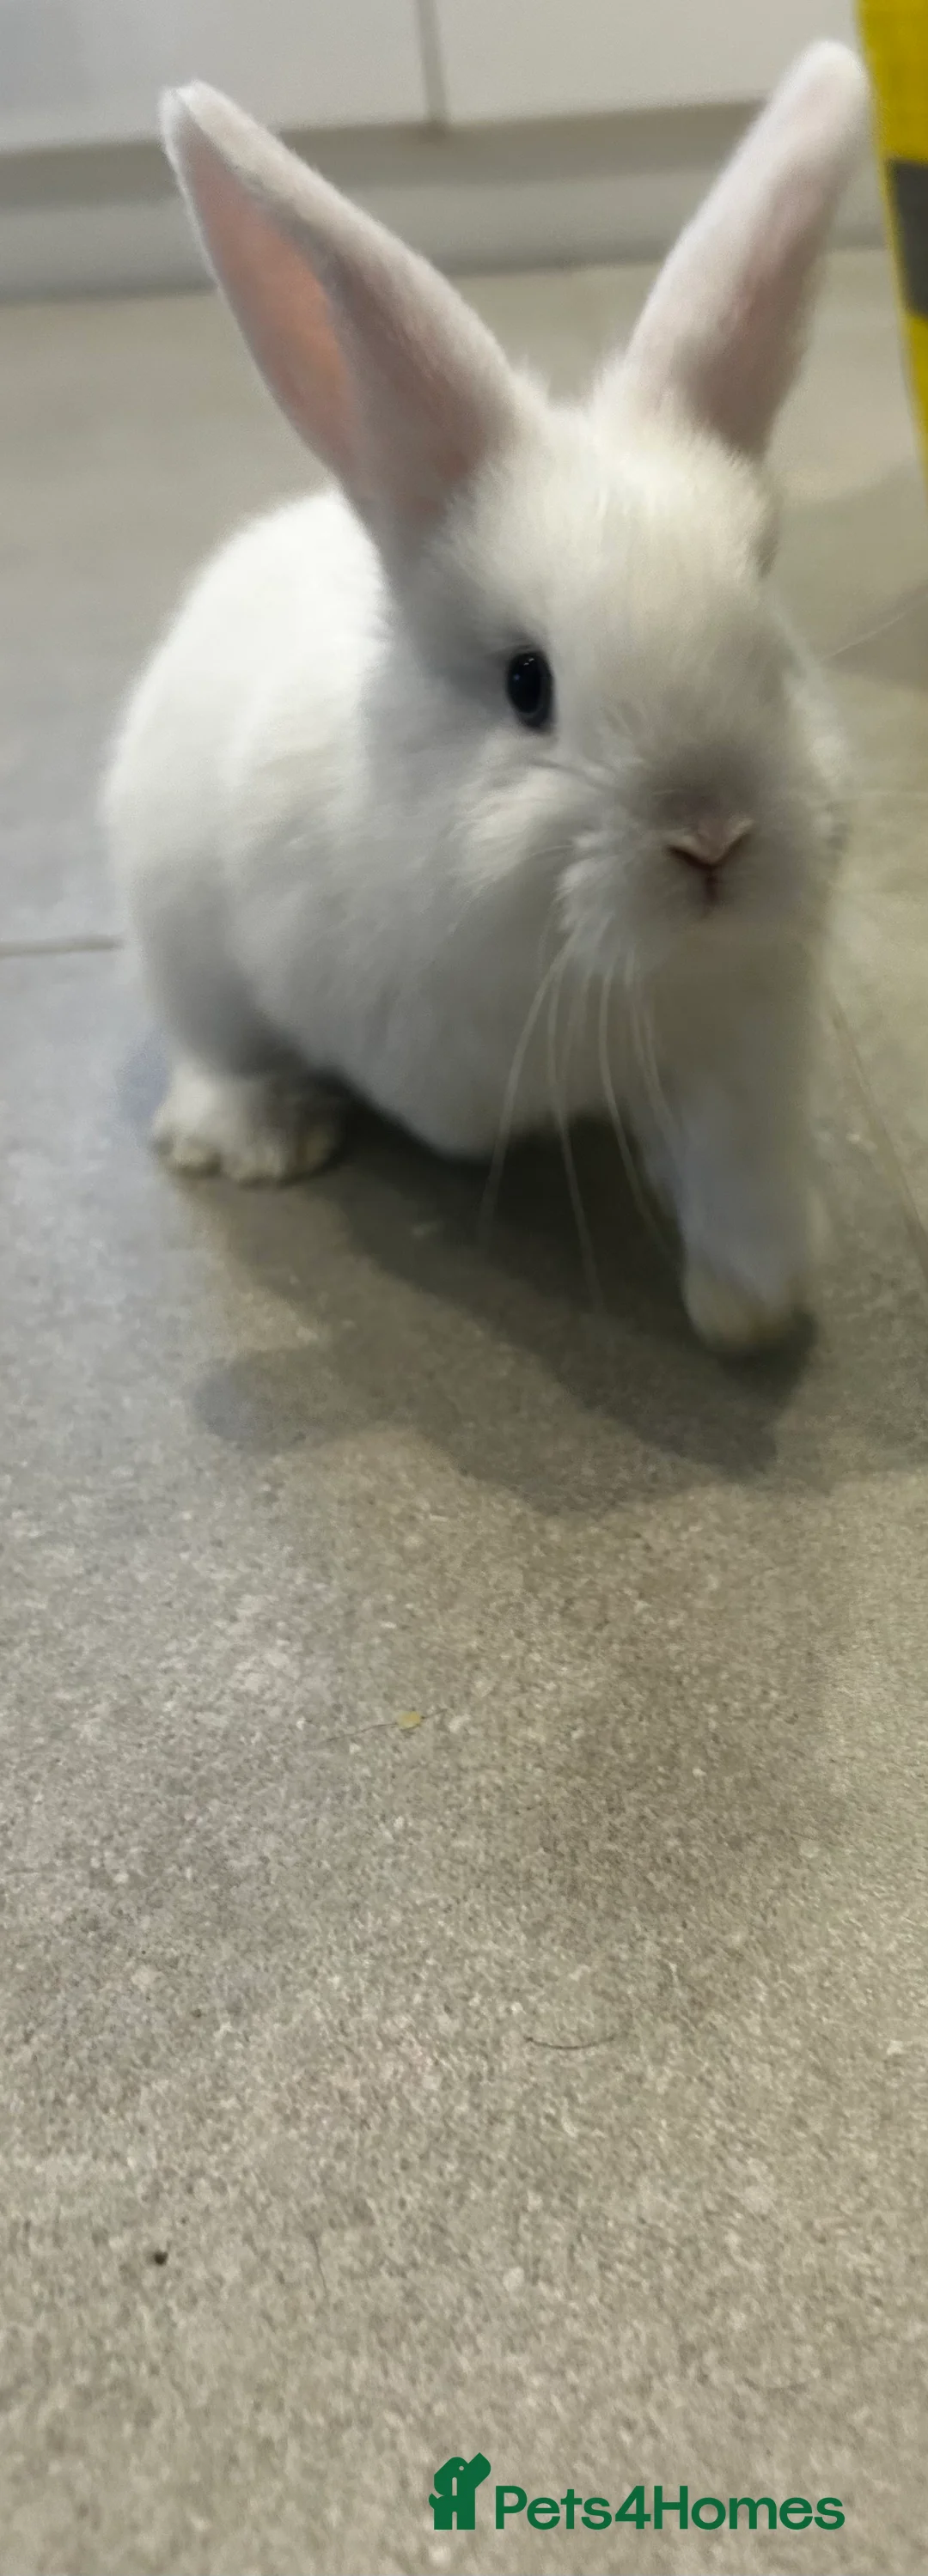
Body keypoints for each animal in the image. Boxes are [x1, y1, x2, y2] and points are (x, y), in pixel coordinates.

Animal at [104, 41, 868, 1353]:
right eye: (528, 684)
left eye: (771, 639)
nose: (713, 835)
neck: (591, 971)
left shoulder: (744, 1040)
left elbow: (743, 1177)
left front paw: (750, 1308)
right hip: (175, 923)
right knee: (204, 1040)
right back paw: (258, 1139)